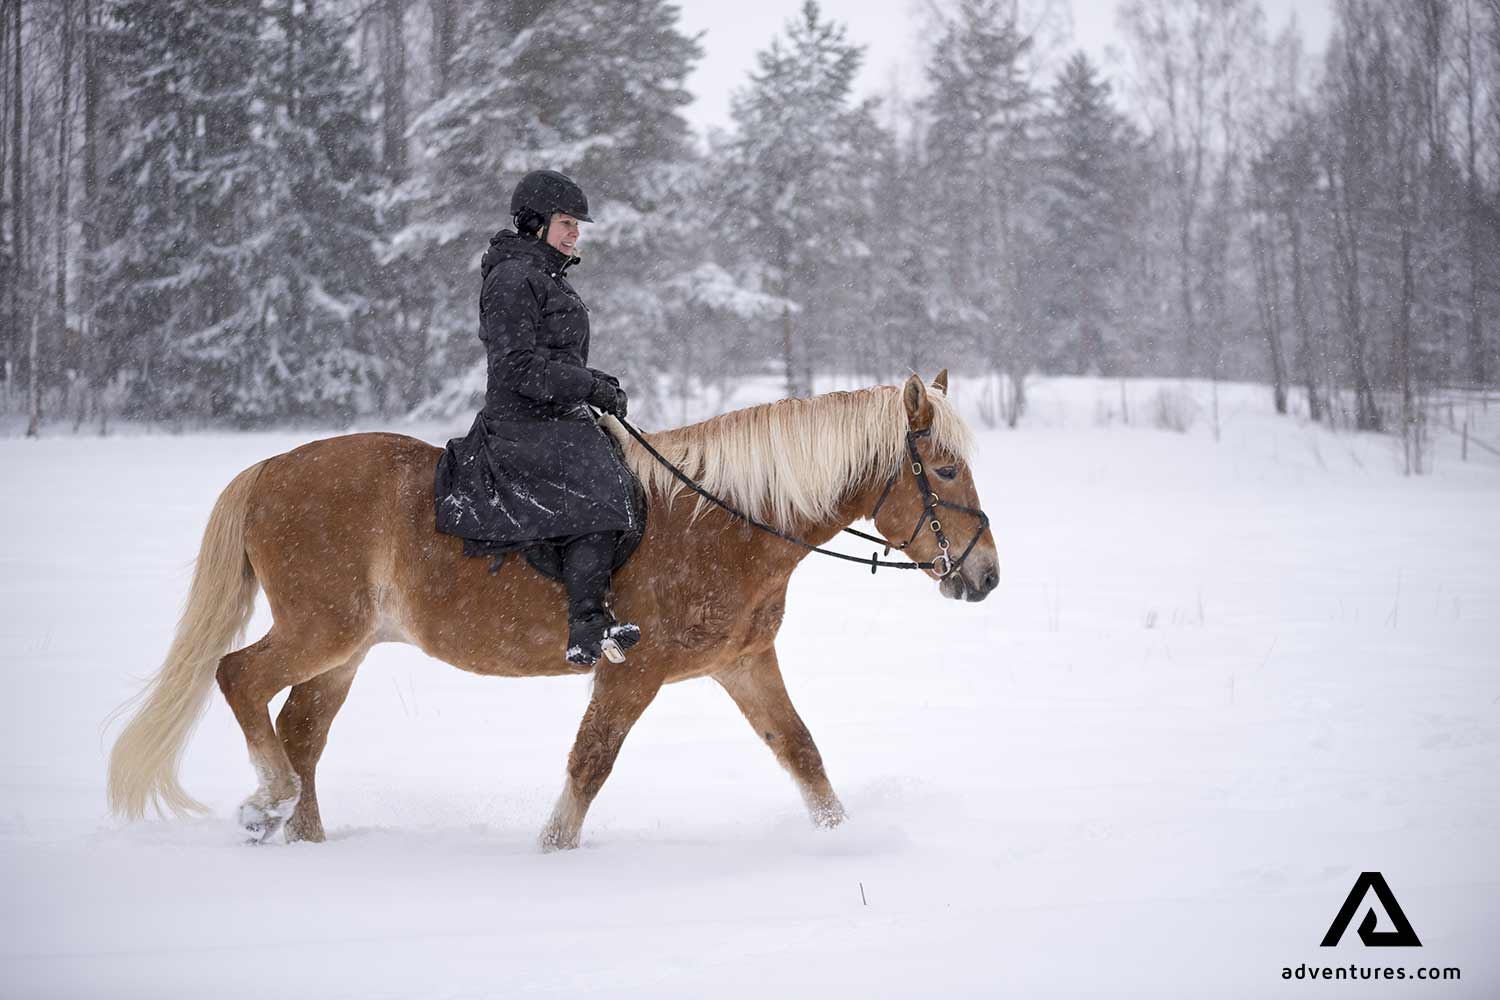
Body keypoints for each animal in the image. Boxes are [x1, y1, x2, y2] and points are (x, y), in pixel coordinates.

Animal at [106, 371, 1000, 850]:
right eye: (946, 471)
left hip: (346, 651)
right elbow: (590, 764)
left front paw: (845, 838)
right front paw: (553, 853)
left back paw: (302, 832)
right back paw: (268, 801)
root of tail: (269, 469)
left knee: (300, 730)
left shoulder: (744, 665)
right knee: (239, 679)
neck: (721, 521)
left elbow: (803, 756)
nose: (986, 576)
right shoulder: (631, 672)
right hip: (320, 630)